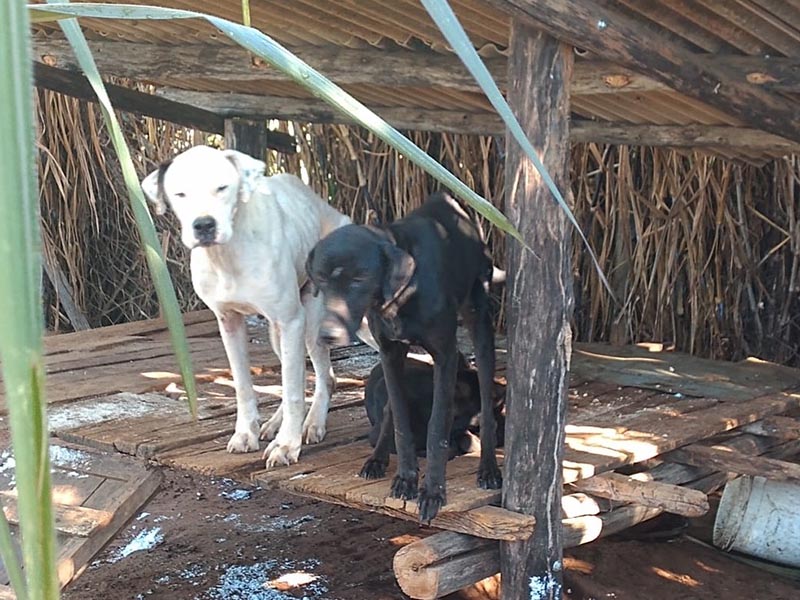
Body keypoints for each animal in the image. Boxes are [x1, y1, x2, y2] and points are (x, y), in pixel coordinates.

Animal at [142, 146, 354, 468]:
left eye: (222, 187)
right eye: (180, 194)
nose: (204, 225)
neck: (227, 255)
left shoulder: (291, 320)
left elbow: (293, 391)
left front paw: (287, 445)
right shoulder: (229, 323)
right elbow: (244, 385)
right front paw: (246, 434)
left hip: (309, 324)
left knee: (322, 377)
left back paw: (312, 423)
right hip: (279, 335)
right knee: (295, 375)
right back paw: (277, 423)